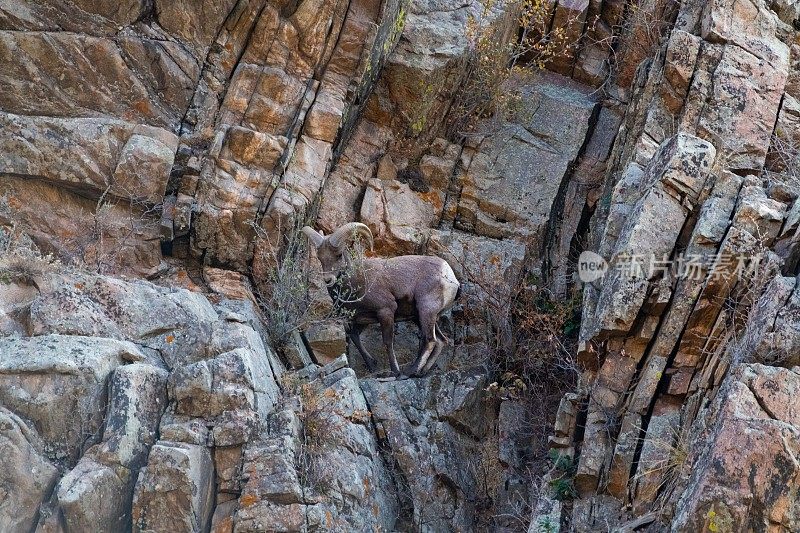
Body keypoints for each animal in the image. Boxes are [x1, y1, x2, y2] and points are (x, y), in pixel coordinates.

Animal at [302, 222, 462, 376]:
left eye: (339, 255)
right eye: (320, 257)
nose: (328, 280)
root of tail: (449, 276)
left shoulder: (385, 311)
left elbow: (387, 342)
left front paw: (395, 372)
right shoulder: (361, 320)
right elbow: (354, 337)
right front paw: (372, 365)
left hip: (425, 311)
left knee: (429, 340)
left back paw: (409, 372)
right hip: (421, 316)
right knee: (441, 340)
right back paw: (421, 372)